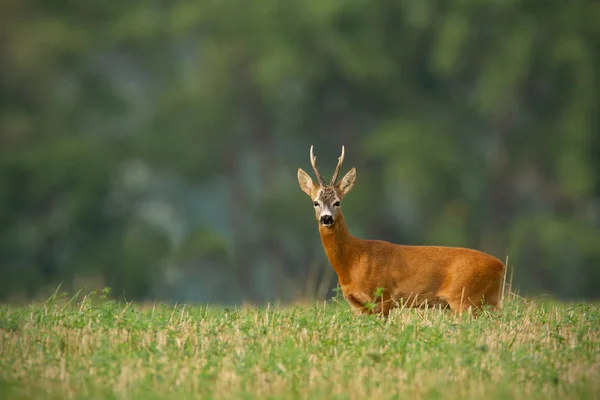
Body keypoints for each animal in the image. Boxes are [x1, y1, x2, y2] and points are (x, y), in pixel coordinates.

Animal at [298, 145, 504, 318]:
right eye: (315, 202)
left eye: (337, 202)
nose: (326, 218)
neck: (352, 260)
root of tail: (500, 265)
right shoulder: (356, 305)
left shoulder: (383, 297)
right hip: (485, 301)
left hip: (465, 299)